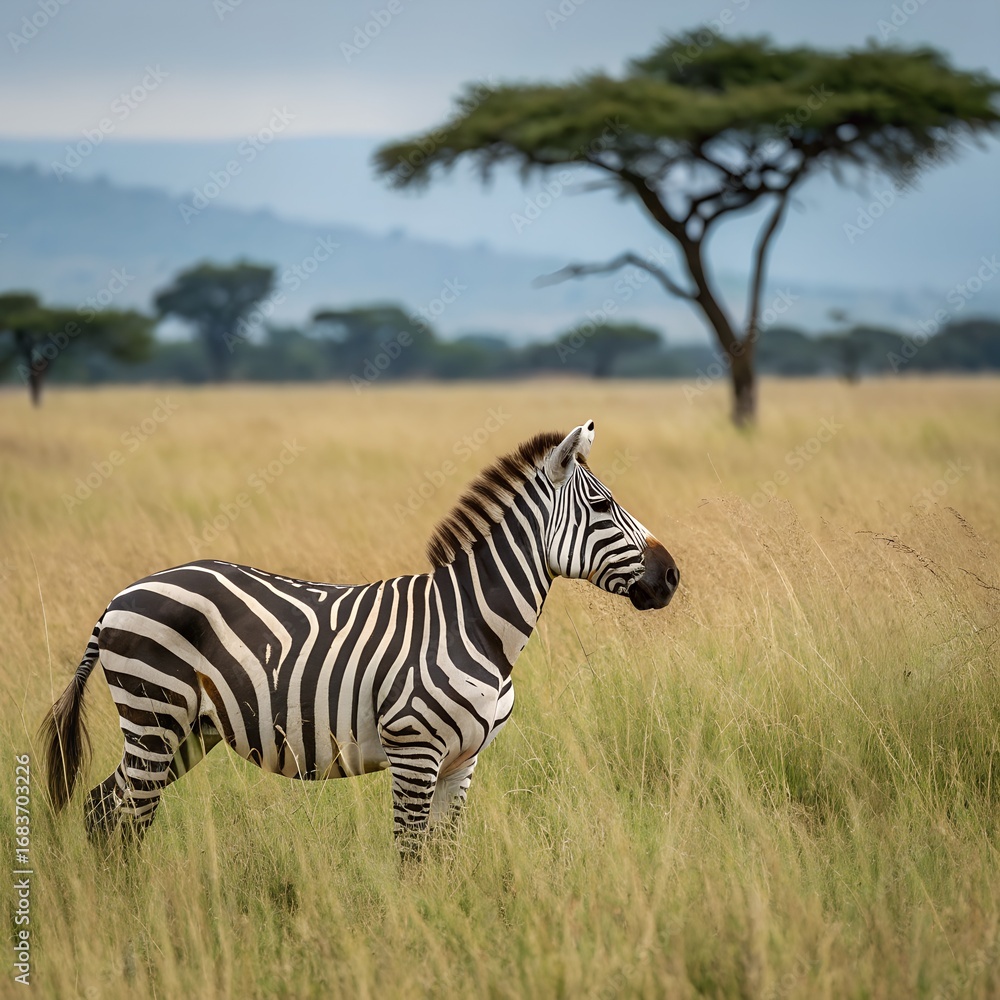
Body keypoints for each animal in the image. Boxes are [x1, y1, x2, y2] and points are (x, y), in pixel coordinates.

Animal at [41, 420, 679, 856]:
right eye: (602, 505)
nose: (672, 576)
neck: (476, 626)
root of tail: (119, 598)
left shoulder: (462, 762)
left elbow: (443, 857)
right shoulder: (415, 752)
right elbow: (411, 856)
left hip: (189, 730)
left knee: (106, 811)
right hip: (154, 714)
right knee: (123, 816)